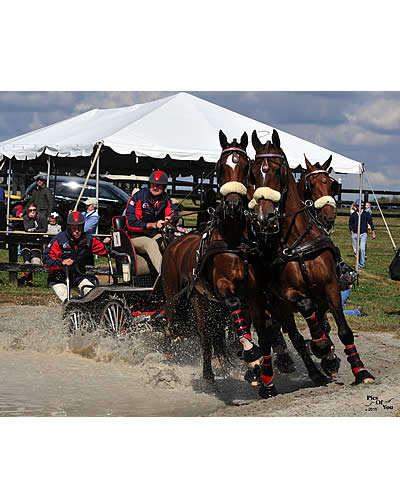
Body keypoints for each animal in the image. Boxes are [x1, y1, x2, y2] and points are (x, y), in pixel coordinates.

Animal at [161, 131, 276, 396]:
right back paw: (202, 373)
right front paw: (250, 353)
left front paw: (258, 367)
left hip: (206, 302)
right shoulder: (224, 287)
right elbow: (234, 307)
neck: (234, 242)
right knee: (193, 332)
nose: (233, 205)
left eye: (245, 166)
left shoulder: (254, 293)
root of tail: (175, 240)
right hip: (181, 297)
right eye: (221, 166)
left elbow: (258, 329)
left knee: (211, 335)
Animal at [250, 127, 376, 388]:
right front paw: (321, 347)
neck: (297, 241)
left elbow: (342, 330)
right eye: (255, 172)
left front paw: (360, 371)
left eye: (331, 184)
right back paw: (309, 365)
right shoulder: (286, 294)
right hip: (276, 306)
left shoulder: (330, 287)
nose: (264, 216)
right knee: (293, 336)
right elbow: (306, 310)